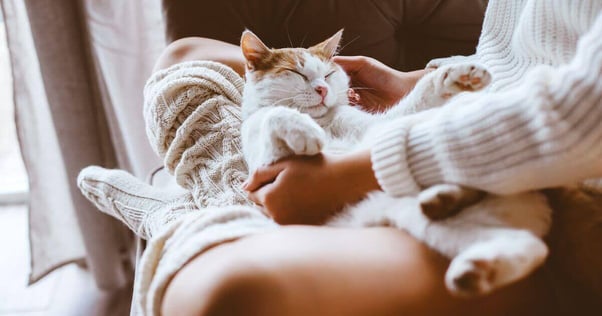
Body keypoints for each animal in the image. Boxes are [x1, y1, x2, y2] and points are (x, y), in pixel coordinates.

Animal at [237, 29, 552, 296]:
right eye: (295, 72)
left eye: (328, 74)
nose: (322, 90)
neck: (324, 122)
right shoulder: (266, 163)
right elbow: (273, 114)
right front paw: (303, 131)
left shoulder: (382, 127)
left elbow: (415, 101)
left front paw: (454, 76)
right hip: (420, 220)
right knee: (528, 245)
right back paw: (470, 259)